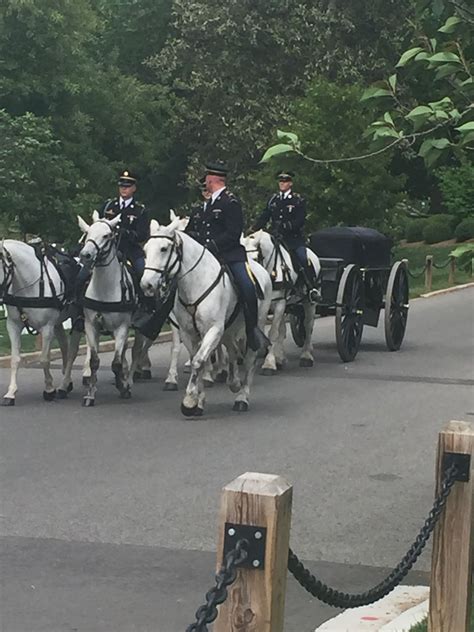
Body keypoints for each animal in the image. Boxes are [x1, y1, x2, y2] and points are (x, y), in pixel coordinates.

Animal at [0, 239, 81, 408]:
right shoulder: (13, 325)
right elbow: (15, 359)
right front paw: (11, 393)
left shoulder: (47, 327)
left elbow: (44, 359)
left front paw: (49, 389)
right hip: (58, 322)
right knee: (64, 346)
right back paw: (67, 382)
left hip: (77, 319)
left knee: (72, 351)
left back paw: (64, 385)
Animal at [76, 212, 144, 408]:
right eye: (88, 232)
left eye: (107, 235)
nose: (86, 255)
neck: (104, 289)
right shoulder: (91, 326)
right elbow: (94, 361)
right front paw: (90, 394)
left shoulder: (122, 327)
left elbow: (115, 363)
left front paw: (123, 387)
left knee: (131, 351)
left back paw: (127, 378)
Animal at [141, 221, 270, 414]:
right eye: (146, 249)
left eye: (163, 248)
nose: (146, 284)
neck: (196, 282)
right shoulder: (188, 332)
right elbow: (197, 360)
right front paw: (198, 401)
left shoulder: (213, 329)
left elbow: (198, 361)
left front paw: (189, 400)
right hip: (228, 329)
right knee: (232, 349)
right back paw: (233, 381)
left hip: (255, 325)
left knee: (249, 358)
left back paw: (242, 398)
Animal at [243, 230, 320, 372]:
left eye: (255, 259)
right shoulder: (269, 304)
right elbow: (271, 331)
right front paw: (275, 358)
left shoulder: (279, 302)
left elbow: (273, 332)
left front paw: (269, 363)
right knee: (284, 330)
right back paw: (280, 357)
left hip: (310, 302)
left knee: (308, 325)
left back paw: (306, 355)